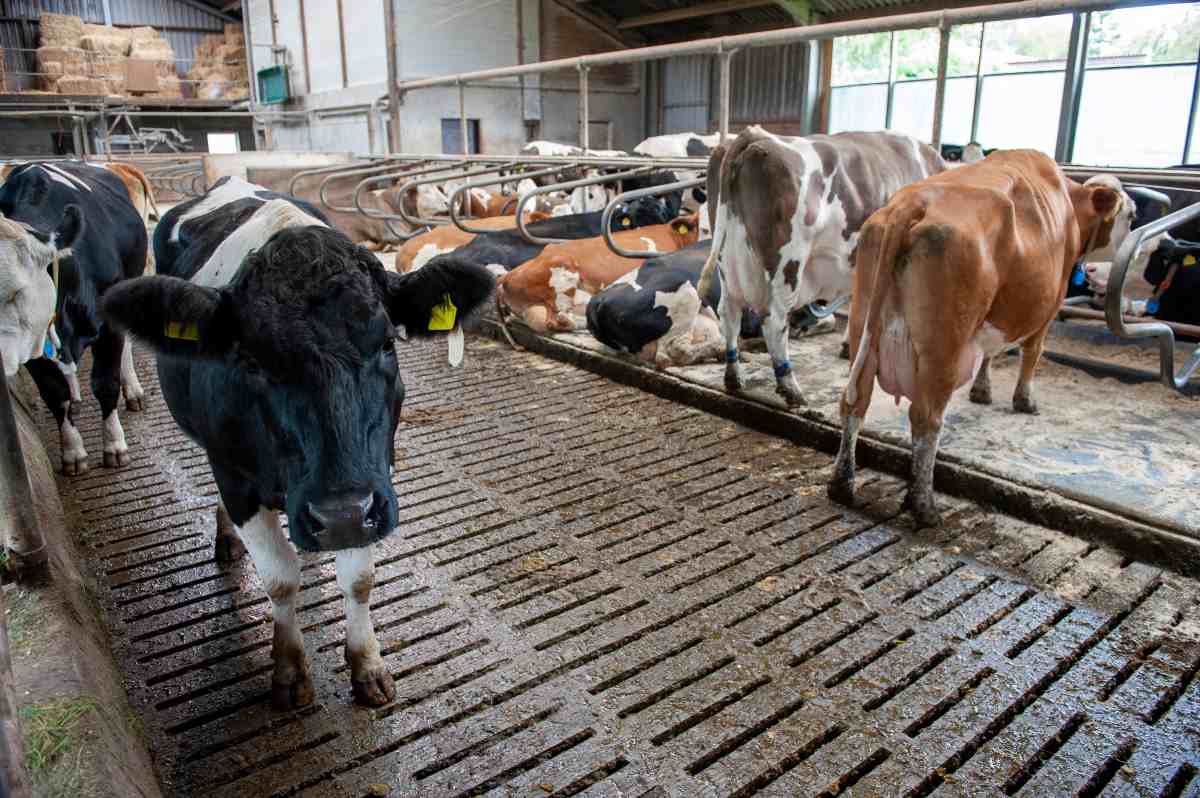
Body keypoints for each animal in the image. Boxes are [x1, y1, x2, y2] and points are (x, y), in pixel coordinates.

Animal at [0, 162, 151, 473]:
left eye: (17, 290)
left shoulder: (109, 327)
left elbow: (106, 383)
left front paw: (115, 446)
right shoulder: (33, 349)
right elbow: (55, 395)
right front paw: (72, 452)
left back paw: (133, 390)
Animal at [100, 191, 495, 710]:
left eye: (387, 344)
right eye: (250, 360)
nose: (339, 515)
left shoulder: (374, 479)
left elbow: (359, 578)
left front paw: (367, 665)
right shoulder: (236, 476)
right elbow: (279, 578)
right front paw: (288, 670)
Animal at [697, 126, 946, 406]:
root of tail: (755, 135)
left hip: (728, 260)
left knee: (729, 313)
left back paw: (733, 376)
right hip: (788, 262)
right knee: (774, 321)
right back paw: (791, 388)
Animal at [829, 151, 1131, 526]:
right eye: (1130, 215)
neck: (1070, 205)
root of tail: (911, 203)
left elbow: (990, 352)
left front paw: (982, 391)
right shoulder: (1049, 305)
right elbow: (1032, 352)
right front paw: (1025, 400)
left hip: (863, 327)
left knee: (855, 402)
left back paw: (843, 484)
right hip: (945, 344)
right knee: (925, 418)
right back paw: (924, 506)